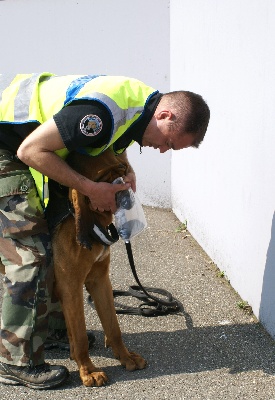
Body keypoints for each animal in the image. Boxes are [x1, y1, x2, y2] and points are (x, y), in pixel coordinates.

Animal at [51, 148, 148, 386]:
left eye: (122, 168)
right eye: (102, 181)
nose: (126, 198)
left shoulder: (100, 281)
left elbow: (113, 326)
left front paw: (126, 357)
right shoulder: (71, 288)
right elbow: (80, 336)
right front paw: (88, 371)